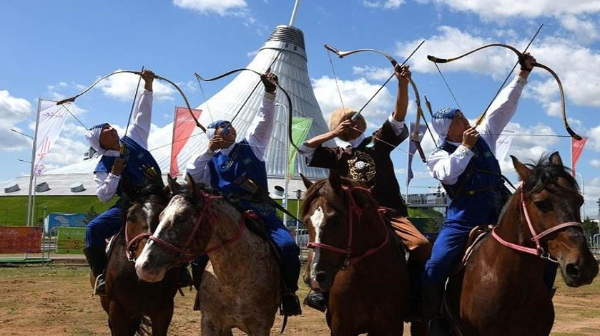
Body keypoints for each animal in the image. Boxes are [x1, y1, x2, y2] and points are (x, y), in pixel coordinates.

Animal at [135, 176, 280, 336]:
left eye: (181, 218)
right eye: (161, 215)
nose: (142, 265)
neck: (232, 283)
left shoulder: (260, 327)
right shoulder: (210, 322)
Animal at [300, 172, 408, 334]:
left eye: (336, 221)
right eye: (306, 222)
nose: (313, 276)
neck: (369, 275)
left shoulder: (391, 327)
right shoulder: (341, 327)